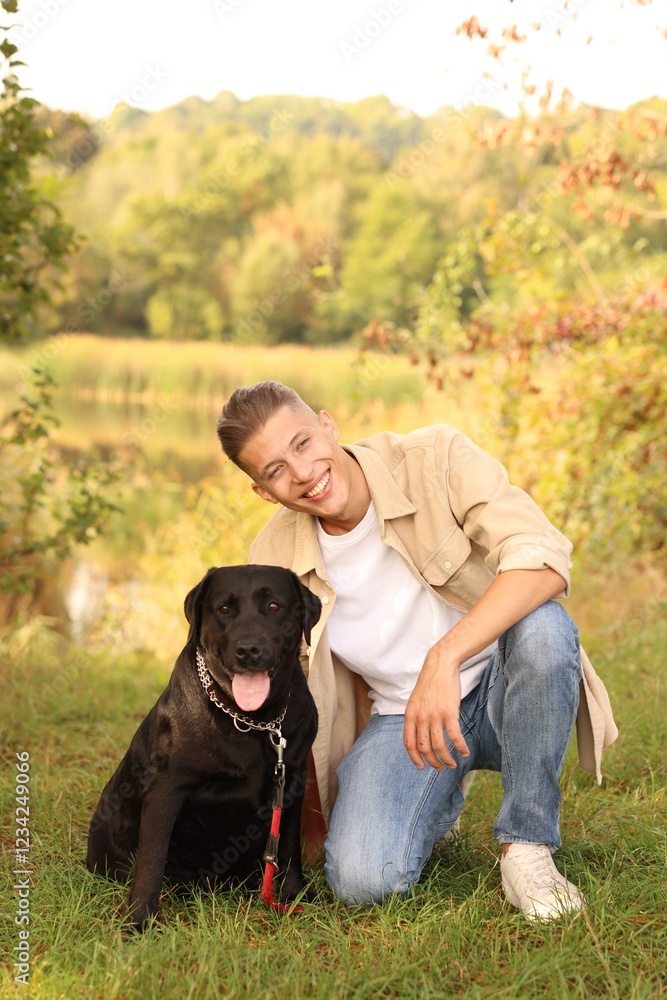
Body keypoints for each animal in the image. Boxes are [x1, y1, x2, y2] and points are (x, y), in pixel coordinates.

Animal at [86, 565, 320, 930]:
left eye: (274, 606)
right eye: (224, 609)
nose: (248, 649)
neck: (252, 721)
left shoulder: (292, 779)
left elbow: (289, 846)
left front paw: (294, 895)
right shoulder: (166, 788)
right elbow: (152, 857)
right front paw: (139, 919)